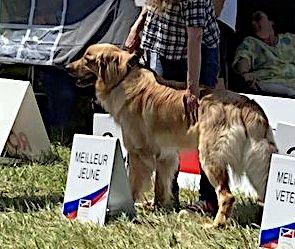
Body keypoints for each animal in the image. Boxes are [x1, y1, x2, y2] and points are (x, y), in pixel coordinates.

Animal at [66, 43, 278, 228]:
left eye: (87, 58)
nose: (67, 67)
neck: (122, 78)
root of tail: (247, 103)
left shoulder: (138, 153)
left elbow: (133, 183)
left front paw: (130, 205)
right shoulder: (166, 155)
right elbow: (161, 185)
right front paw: (157, 208)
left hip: (209, 157)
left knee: (227, 196)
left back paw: (215, 225)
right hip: (255, 162)